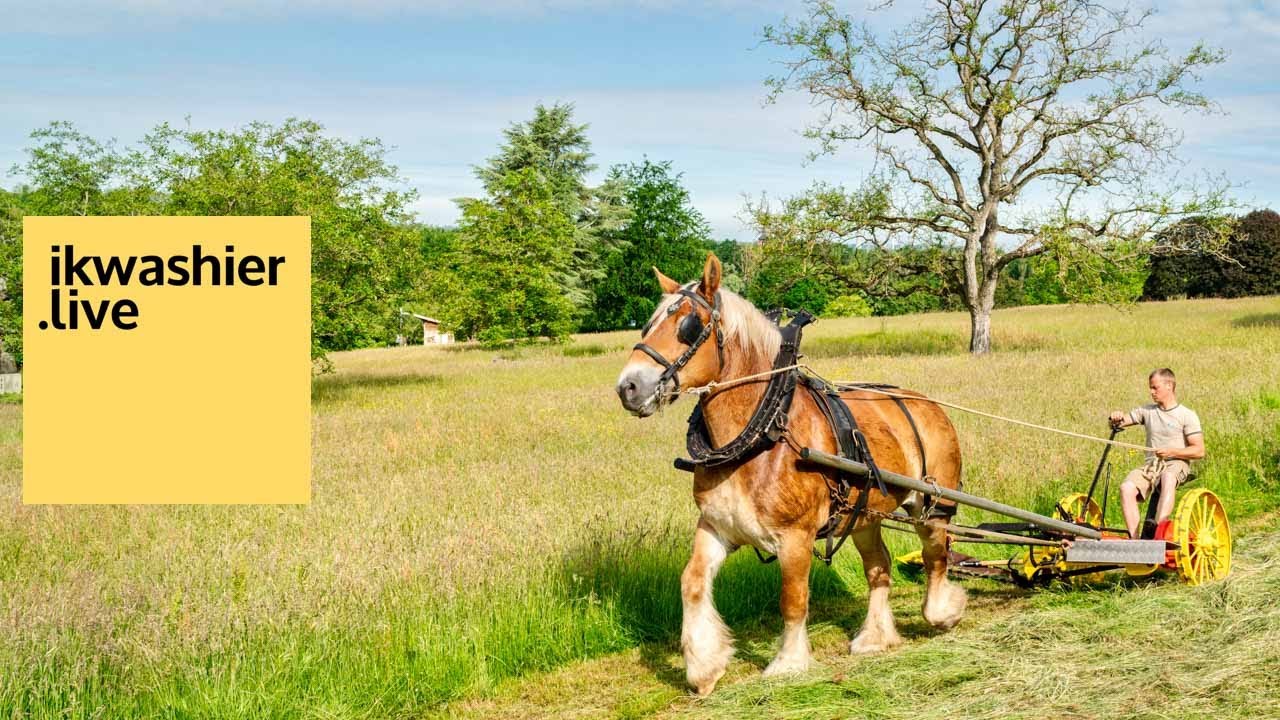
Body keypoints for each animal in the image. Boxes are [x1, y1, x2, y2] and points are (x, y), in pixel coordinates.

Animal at [614, 253, 967, 696]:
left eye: (688, 326)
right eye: (648, 324)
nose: (628, 387)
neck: (764, 434)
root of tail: (927, 404)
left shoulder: (795, 536)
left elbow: (793, 598)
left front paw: (788, 662)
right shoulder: (716, 526)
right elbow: (692, 583)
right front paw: (704, 667)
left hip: (933, 505)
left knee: (936, 556)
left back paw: (943, 612)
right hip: (864, 513)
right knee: (879, 567)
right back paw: (874, 637)